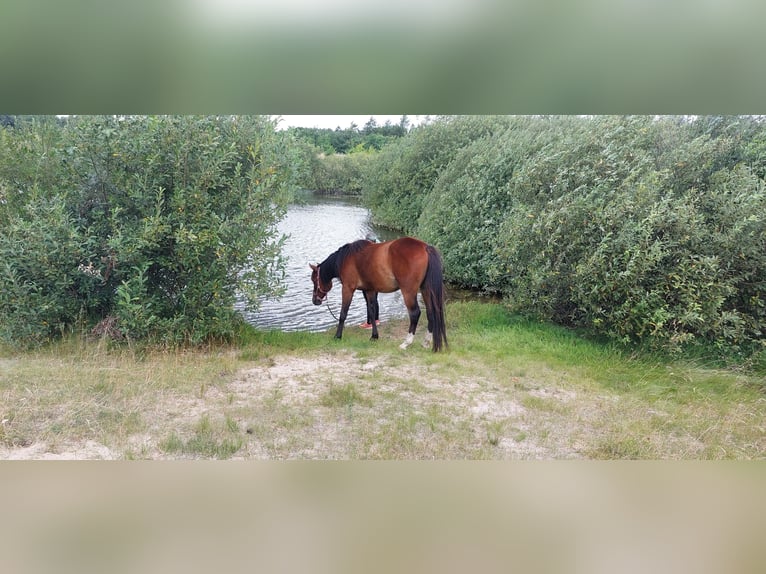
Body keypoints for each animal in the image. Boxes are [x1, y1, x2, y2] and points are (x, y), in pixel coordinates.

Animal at [308, 237, 448, 352]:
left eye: (314, 280)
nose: (315, 300)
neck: (346, 258)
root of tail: (425, 247)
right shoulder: (369, 290)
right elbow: (372, 312)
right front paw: (374, 336)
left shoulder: (348, 288)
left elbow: (343, 313)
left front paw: (338, 336)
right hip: (426, 289)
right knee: (430, 312)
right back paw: (426, 342)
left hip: (408, 291)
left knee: (415, 314)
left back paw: (406, 343)